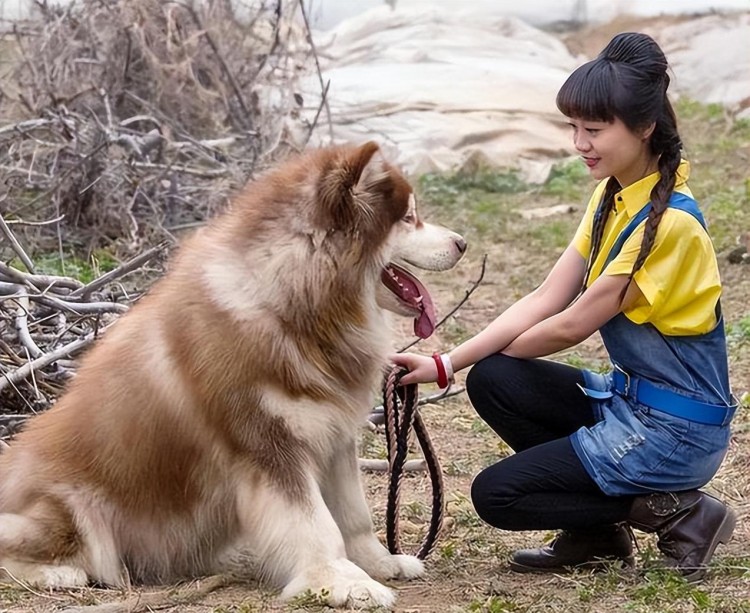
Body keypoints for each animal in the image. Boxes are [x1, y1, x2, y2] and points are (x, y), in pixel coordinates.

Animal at [0, 143, 468, 608]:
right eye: (408, 218)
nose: (462, 242)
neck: (295, 310)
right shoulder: (268, 445)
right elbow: (314, 523)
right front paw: (339, 580)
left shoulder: (333, 435)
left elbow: (353, 516)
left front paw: (378, 563)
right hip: (70, 507)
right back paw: (60, 573)